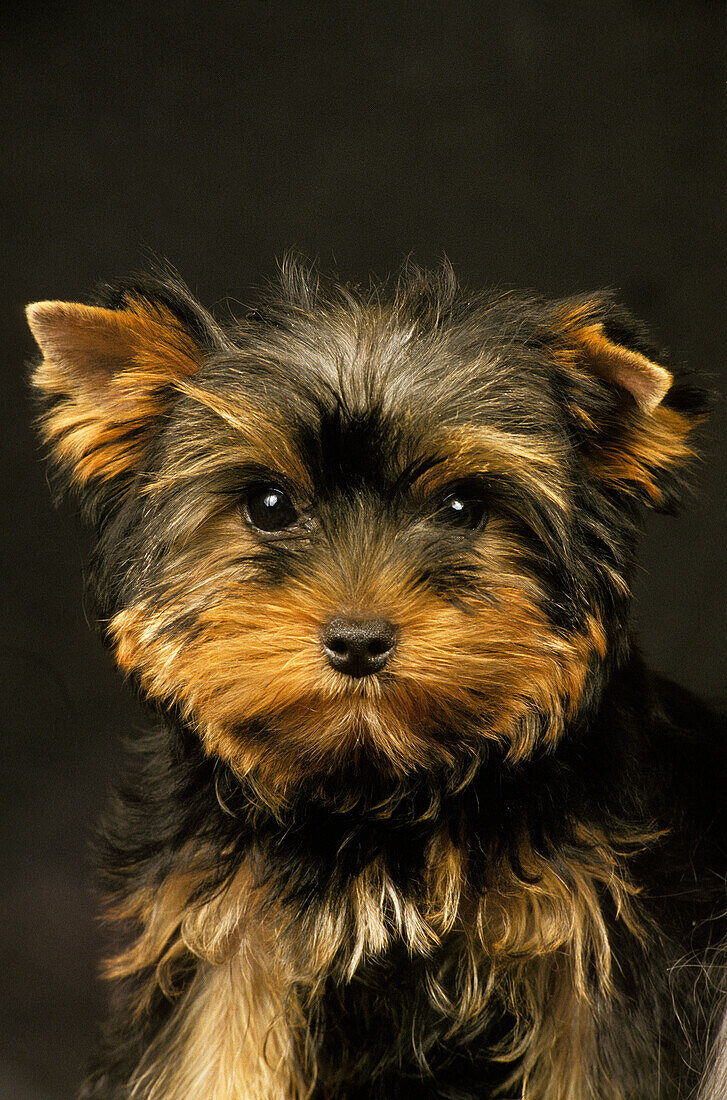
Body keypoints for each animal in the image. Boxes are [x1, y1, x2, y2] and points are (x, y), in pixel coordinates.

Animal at [26, 259, 725, 1100]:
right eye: (268, 505)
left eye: (462, 507)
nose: (358, 642)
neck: (377, 794)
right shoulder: (224, 937)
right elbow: (209, 1060)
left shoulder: (598, 950)